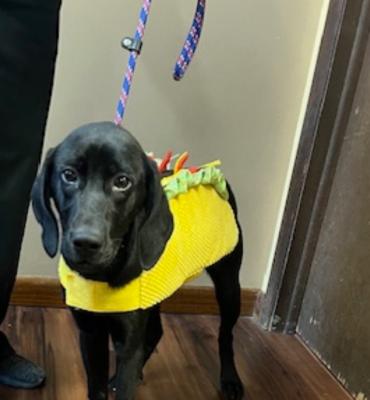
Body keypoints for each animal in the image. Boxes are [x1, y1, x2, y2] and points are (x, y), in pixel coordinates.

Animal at [31, 122, 244, 400]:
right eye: (69, 175)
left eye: (122, 182)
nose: (86, 242)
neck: (102, 276)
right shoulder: (91, 334)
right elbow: (98, 387)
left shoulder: (128, 340)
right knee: (156, 332)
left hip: (229, 285)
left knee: (225, 335)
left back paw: (230, 379)